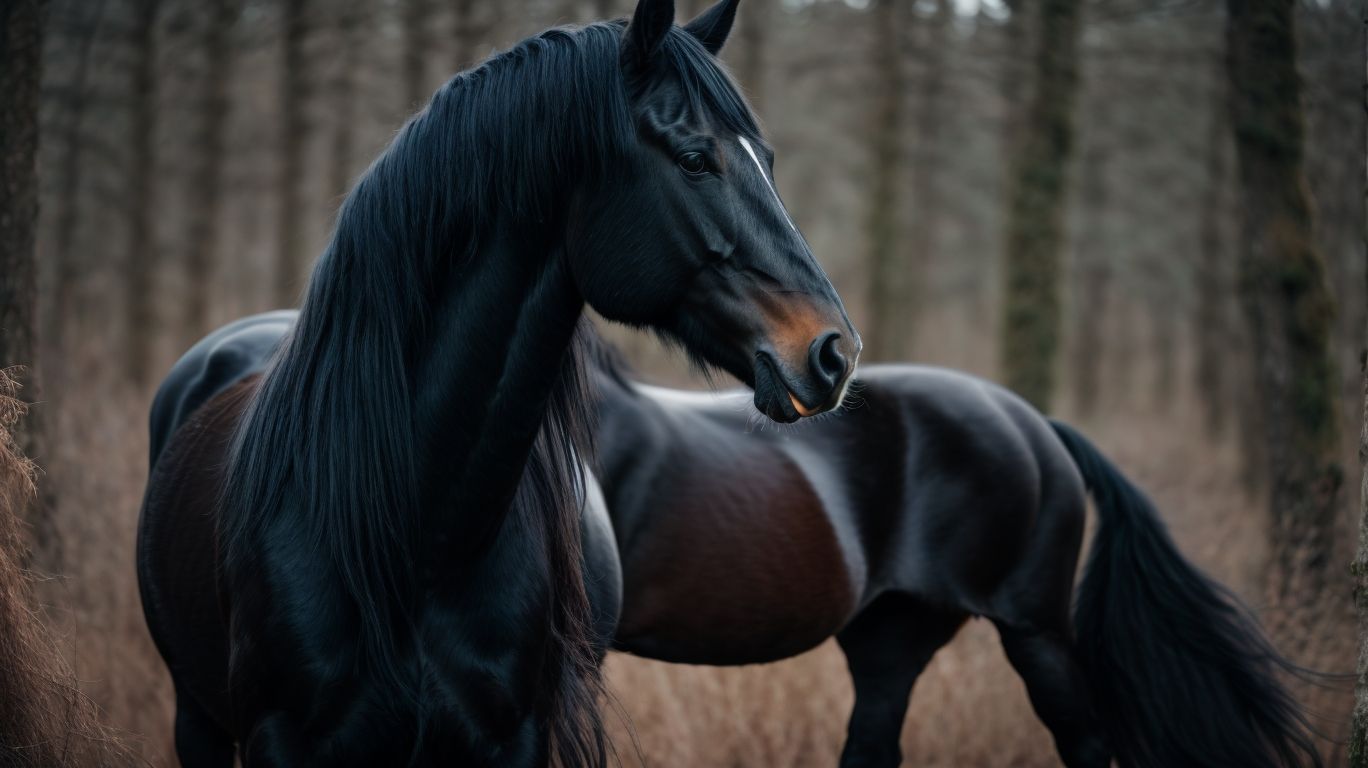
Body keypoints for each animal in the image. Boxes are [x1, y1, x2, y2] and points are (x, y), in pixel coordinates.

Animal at [136, 1, 860, 764]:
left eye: (767, 161)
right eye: (695, 159)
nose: (833, 352)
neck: (416, 539)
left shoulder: (513, 737)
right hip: (197, 717)